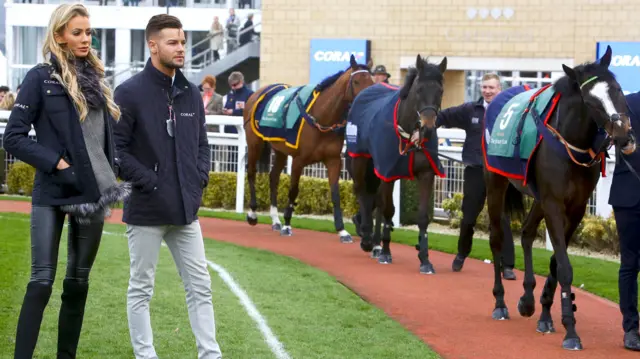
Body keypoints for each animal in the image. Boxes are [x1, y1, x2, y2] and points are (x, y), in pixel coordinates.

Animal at [244, 54, 376, 243]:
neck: (321, 118)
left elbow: (335, 194)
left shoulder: (333, 160)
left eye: (372, 81)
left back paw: (275, 219)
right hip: (255, 143)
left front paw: (342, 230)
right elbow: (293, 191)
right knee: (251, 172)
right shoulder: (298, 160)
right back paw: (253, 214)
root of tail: (257, 93)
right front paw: (287, 225)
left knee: (273, 177)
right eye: (357, 81)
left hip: (280, 150)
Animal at [348, 54, 448, 274]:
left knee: (374, 197)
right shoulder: (389, 171)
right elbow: (388, 210)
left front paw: (425, 259)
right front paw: (386, 252)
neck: (410, 135)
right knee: (362, 191)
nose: (428, 128)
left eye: (440, 91)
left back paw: (375, 242)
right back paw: (367, 236)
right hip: (359, 157)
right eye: (419, 89)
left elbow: (422, 216)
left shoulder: (426, 173)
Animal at [484, 45, 636, 352]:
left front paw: (546, 315)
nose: (624, 135)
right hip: (496, 182)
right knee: (496, 239)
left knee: (527, 232)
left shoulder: (575, 207)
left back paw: (527, 300)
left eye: (616, 90)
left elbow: (556, 260)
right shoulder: (554, 203)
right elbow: (564, 266)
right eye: (591, 101)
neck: (570, 143)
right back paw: (500, 302)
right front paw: (571, 331)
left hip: (539, 197)